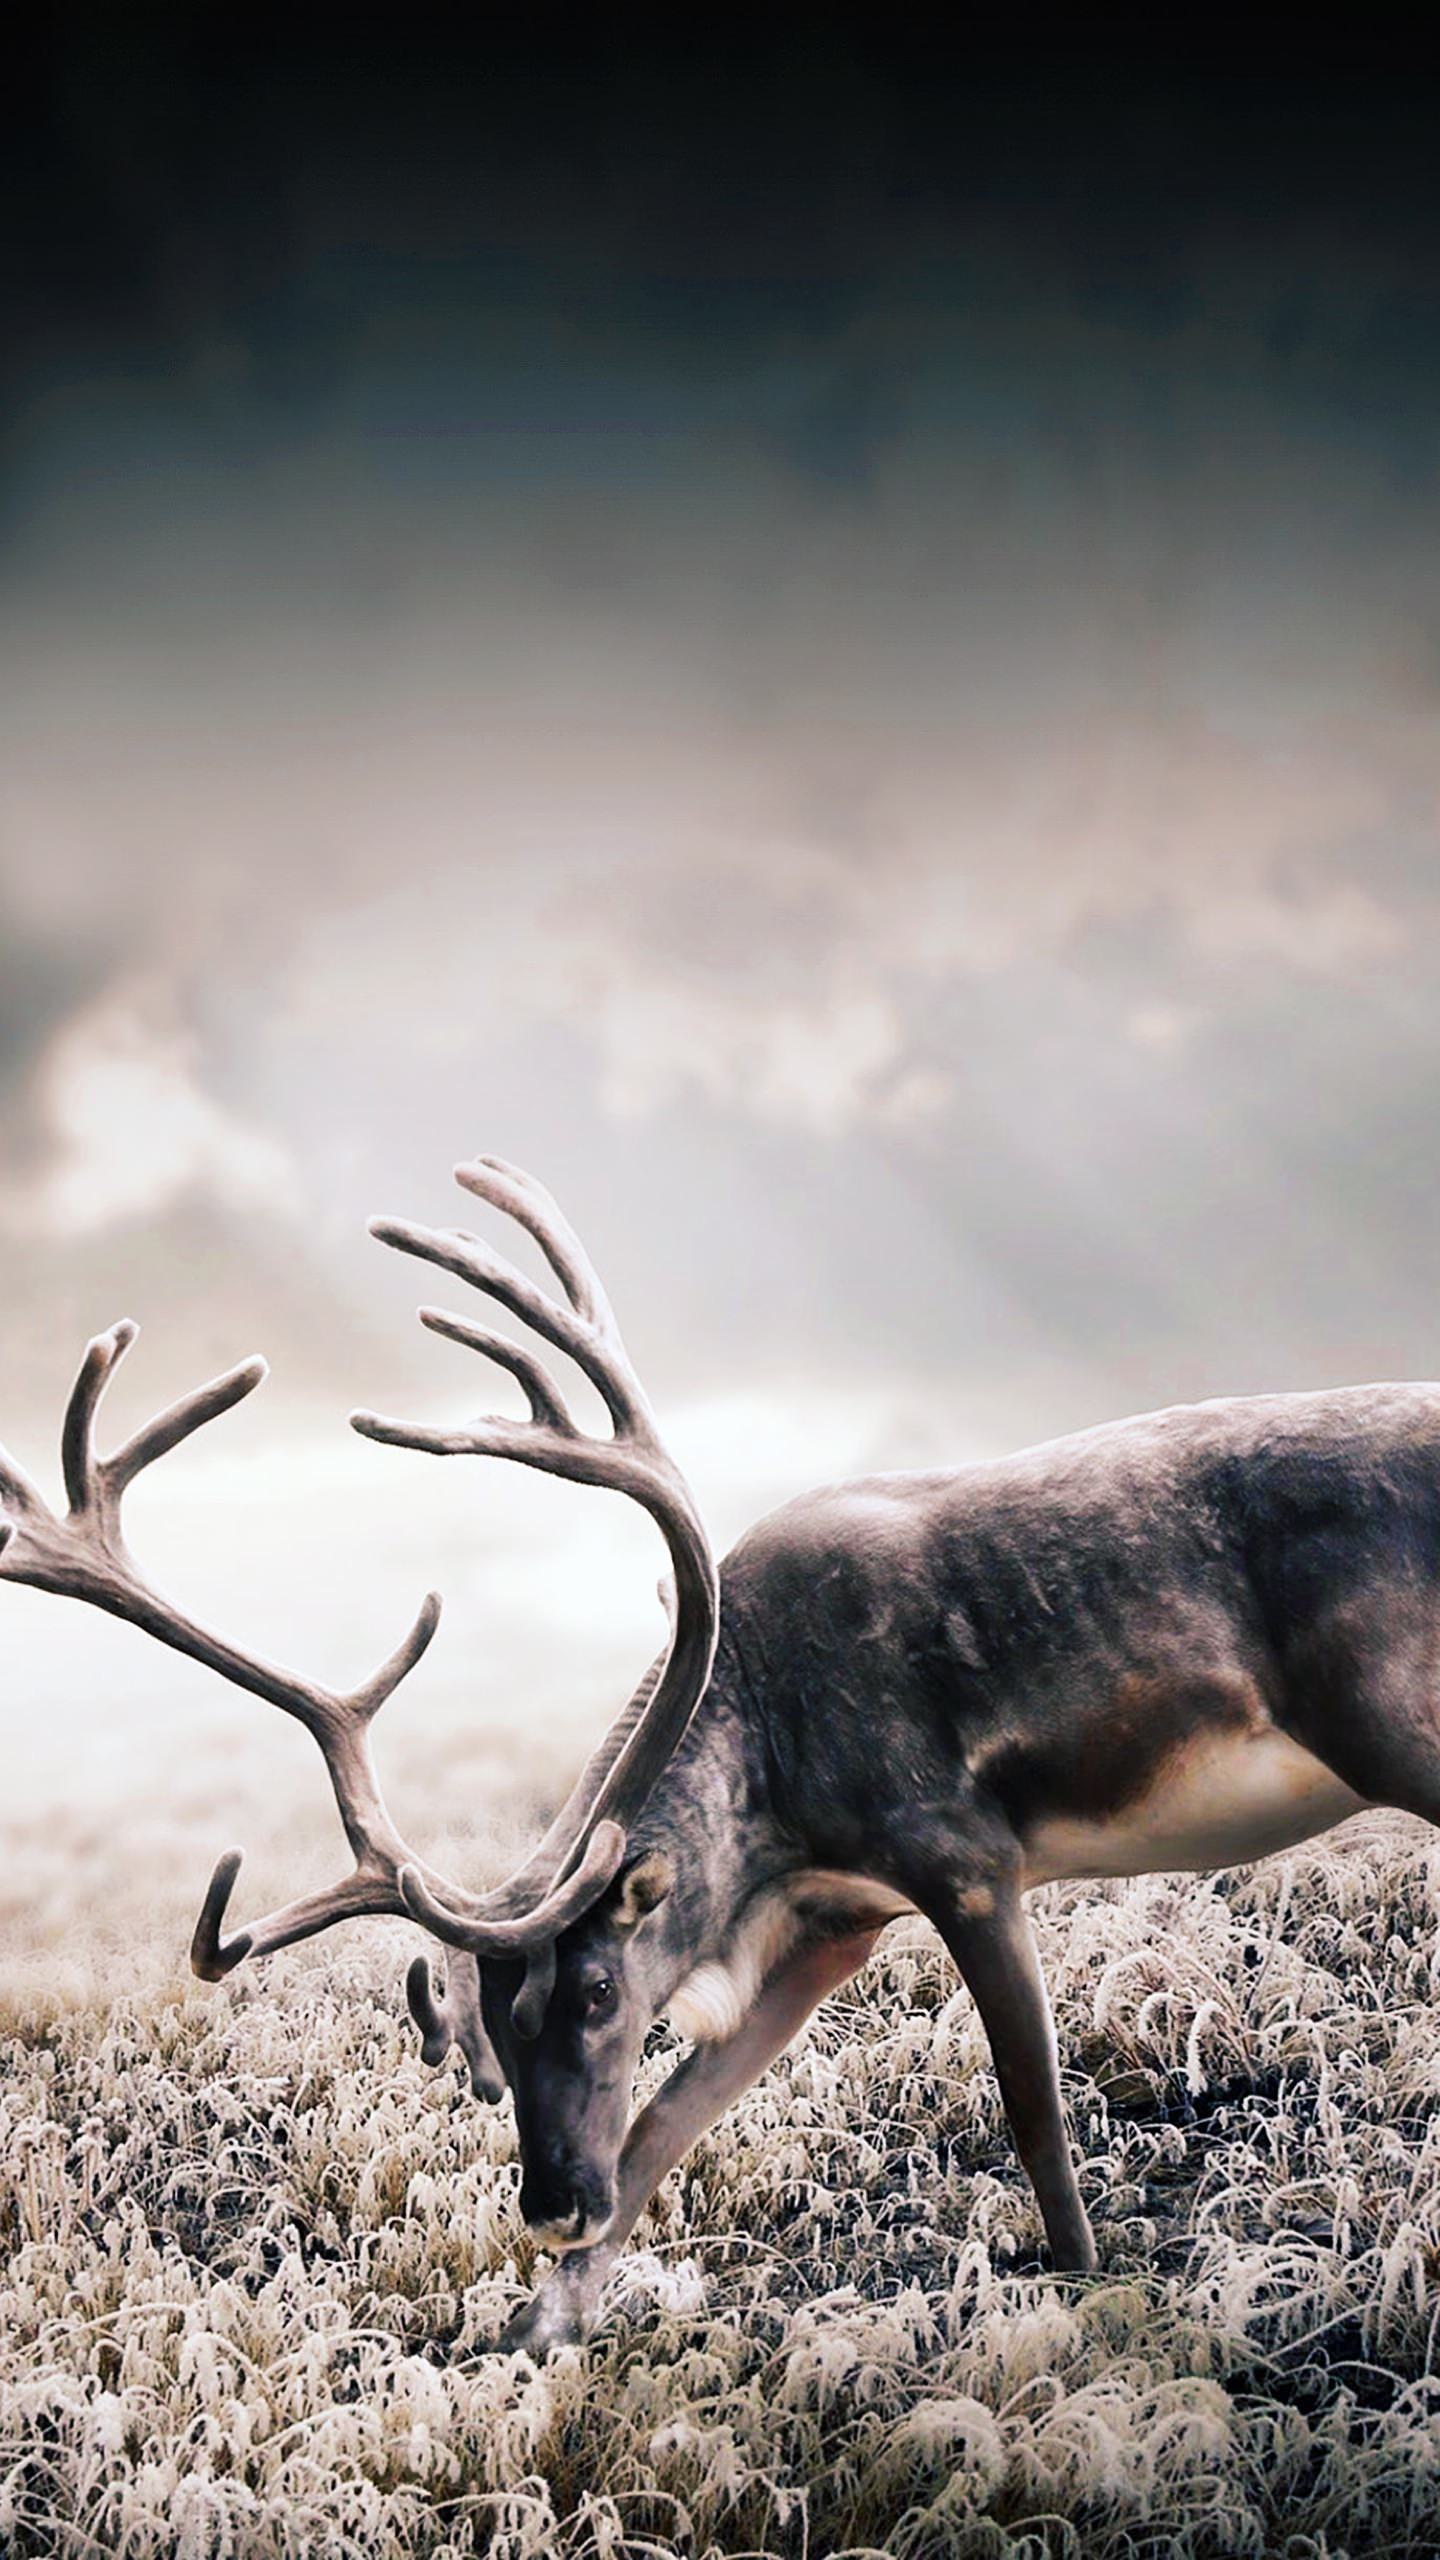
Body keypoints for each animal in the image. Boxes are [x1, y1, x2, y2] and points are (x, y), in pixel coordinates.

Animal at [1, 1154, 1426, 2355]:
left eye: (592, 1990)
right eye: (492, 2028)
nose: (548, 2201)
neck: (777, 1790)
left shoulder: (961, 1852)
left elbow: (1036, 2113)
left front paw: (1088, 2297)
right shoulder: (829, 1921)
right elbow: (661, 2132)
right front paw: (535, 2333)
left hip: (1397, 1718)